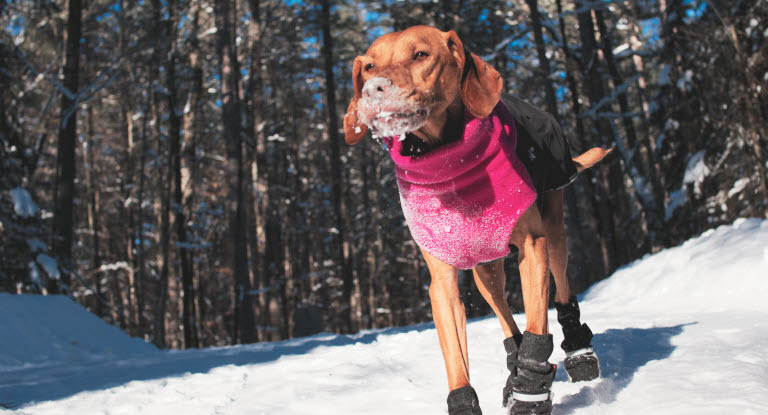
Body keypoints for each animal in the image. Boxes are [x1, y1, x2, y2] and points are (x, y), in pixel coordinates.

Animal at [342, 26, 608, 415]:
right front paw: (469, 399)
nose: (374, 88)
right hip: (486, 270)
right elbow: (457, 355)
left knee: (561, 289)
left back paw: (578, 351)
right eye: (369, 67)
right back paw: (513, 369)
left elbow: (537, 328)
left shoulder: (533, 248)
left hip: (555, 231)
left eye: (420, 55)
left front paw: (530, 391)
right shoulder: (441, 281)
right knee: (506, 318)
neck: (446, 160)